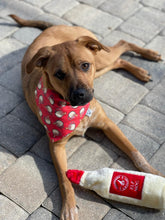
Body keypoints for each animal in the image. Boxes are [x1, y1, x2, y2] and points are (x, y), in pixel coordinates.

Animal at [10, 15, 162, 220]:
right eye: (59, 74)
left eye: (84, 65)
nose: (81, 95)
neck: (74, 110)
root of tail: (54, 26)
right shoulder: (56, 146)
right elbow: (64, 178)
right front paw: (69, 207)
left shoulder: (108, 124)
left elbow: (135, 153)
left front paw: (152, 173)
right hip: (99, 68)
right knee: (119, 60)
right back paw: (141, 70)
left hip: (100, 59)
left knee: (122, 44)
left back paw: (149, 56)